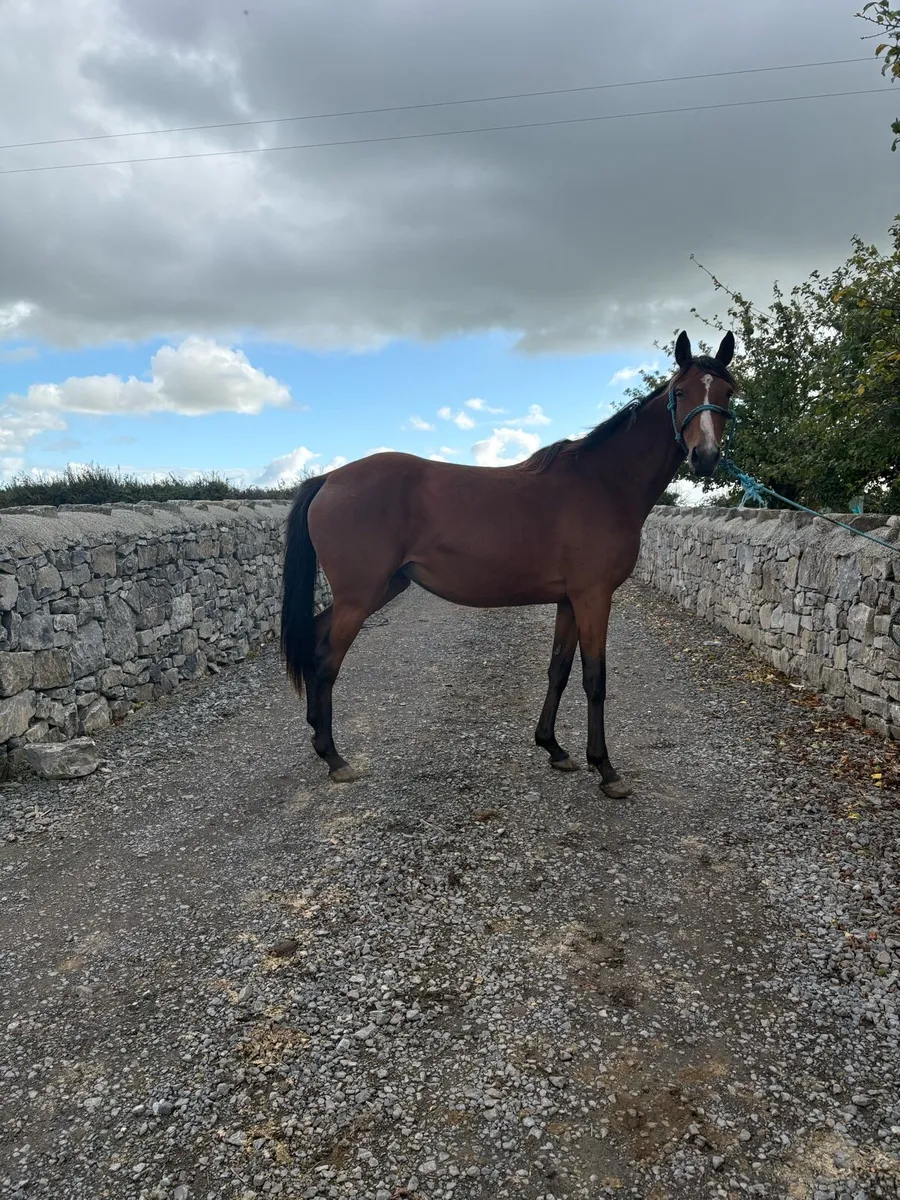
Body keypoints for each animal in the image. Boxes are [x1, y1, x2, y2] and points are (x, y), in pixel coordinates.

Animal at [281, 329, 736, 797]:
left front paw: (554, 748)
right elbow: (595, 679)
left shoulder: (569, 600)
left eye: (727, 392)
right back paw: (334, 758)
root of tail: (329, 479)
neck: (602, 484)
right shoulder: (594, 598)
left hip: (380, 588)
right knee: (326, 662)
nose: (705, 457)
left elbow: (559, 670)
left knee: (314, 640)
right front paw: (606, 769)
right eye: (679, 392)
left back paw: (319, 739)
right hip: (360, 596)